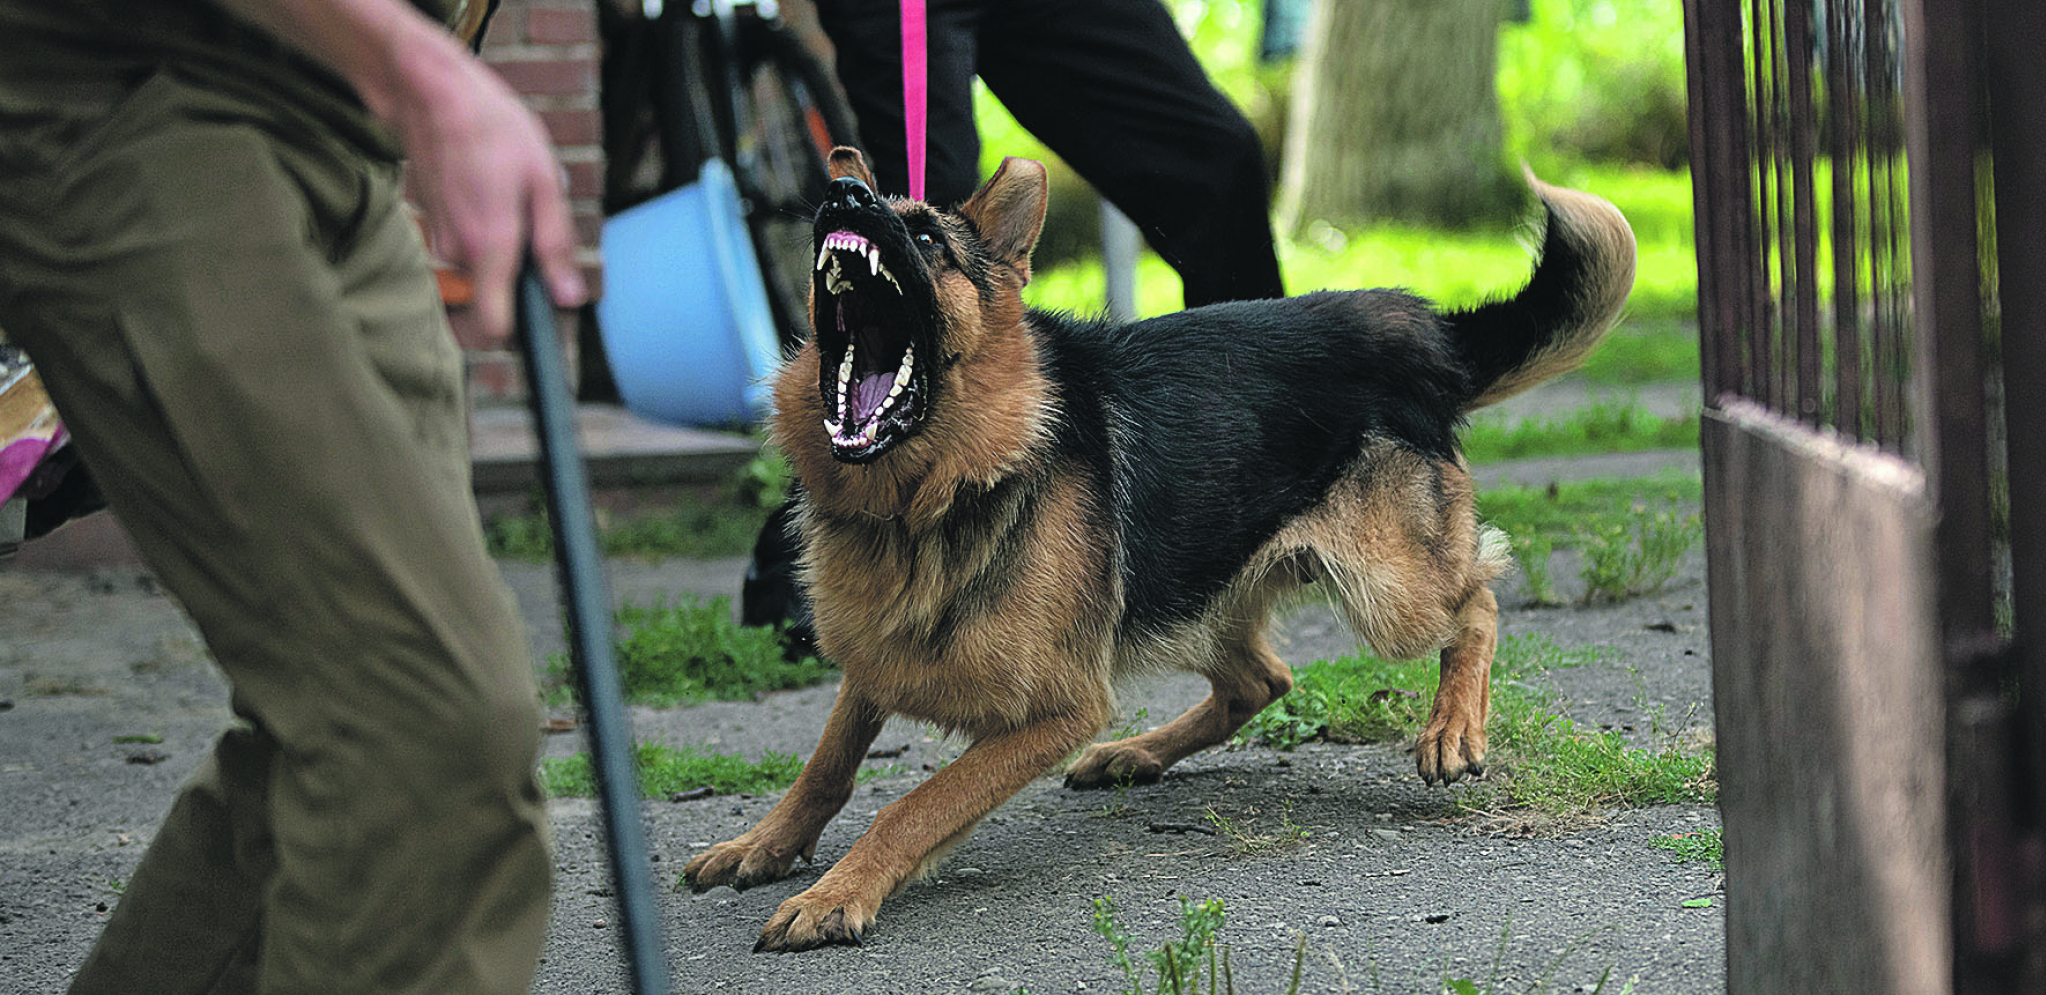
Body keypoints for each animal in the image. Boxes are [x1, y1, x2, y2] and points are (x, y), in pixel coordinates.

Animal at [683, 145, 1628, 949]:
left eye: (925, 238)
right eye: (859, 200)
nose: (843, 195)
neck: (936, 487)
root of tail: (1413, 322)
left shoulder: (1057, 708)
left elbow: (912, 804)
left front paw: (838, 893)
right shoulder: (879, 657)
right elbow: (826, 764)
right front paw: (766, 843)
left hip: (1384, 590)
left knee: (1477, 601)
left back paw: (1452, 727)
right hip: (1191, 584)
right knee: (1262, 679)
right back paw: (1135, 753)